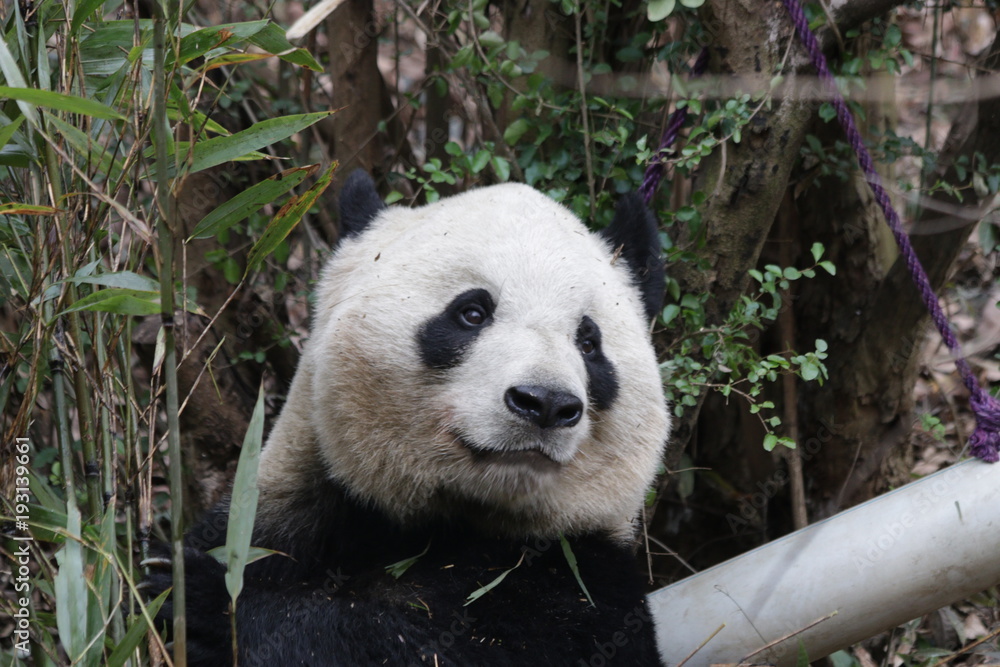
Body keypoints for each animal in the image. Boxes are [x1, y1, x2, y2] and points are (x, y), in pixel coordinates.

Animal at [147, 171, 671, 666]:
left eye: (589, 342)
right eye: (472, 312)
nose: (544, 403)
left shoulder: (583, 576)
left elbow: (412, 644)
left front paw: (203, 601)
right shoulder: (289, 509)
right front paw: (169, 578)